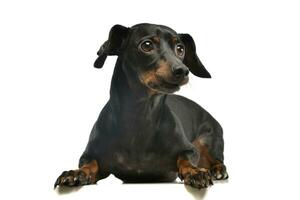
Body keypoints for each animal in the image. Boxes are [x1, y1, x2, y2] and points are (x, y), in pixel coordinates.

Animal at [54, 23, 227, 189]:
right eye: (147, 45)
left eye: (180, 48)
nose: (183, 70)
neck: (141, 115)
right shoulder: (90, 155)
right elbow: (89, 164)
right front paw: (76, 173)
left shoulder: (190, 150)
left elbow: (185, 159)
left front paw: (194, 172)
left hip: (208, 141)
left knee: (217, 160)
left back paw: (217, 170)